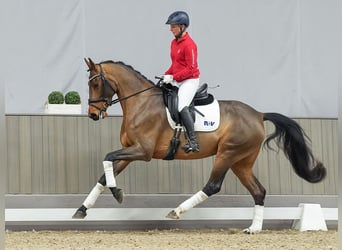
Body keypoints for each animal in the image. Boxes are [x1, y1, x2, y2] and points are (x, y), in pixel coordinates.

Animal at [73, 57, 326, 233]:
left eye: (96, 83)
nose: (93, 114)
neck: (141, 102)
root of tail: (258, 114)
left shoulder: (142, 152)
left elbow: (107, 157)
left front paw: (117, 193)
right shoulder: (129, 152)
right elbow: (104, 174)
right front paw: (82, 209)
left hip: (227, 154)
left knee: (213, 186)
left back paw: (176, 211)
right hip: (241, 162)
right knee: (258, 191)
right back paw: (254, 229)